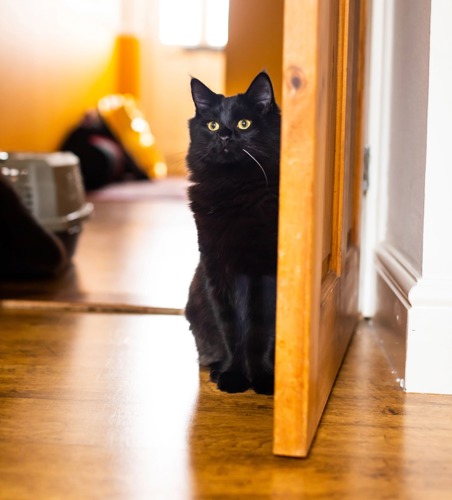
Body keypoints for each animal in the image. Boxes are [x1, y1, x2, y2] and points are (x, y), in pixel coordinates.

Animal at [185, 71, 280, 394]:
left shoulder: (265, 273)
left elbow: (261, 330)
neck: (234, 190)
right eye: (212, 125)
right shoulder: (218, 271)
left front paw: (263, 378)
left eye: (244, 124)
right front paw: (233, 375)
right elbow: (232, 330)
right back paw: (215, 370)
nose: (225, 136)